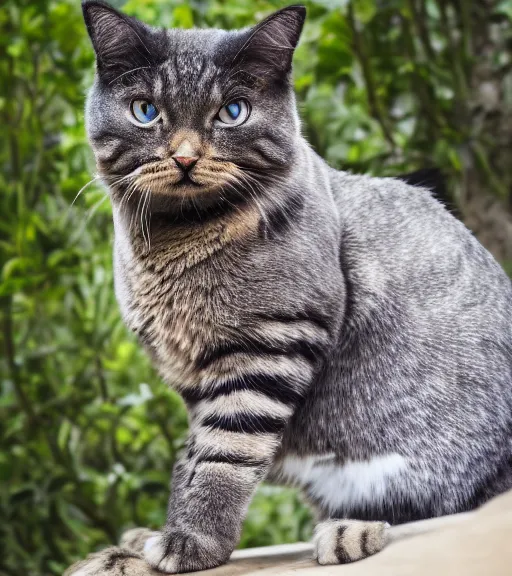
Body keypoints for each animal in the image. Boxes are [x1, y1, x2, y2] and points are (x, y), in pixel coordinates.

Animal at [81, 2, 512, 572]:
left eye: (232, 112)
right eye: (146, 111)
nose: (185, 157)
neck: (179, 241)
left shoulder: (270, 344)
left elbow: (223, 453)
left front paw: (194, 539)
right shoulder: (201, 380)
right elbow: (193, 455)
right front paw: (168, 530)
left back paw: (350, 531)